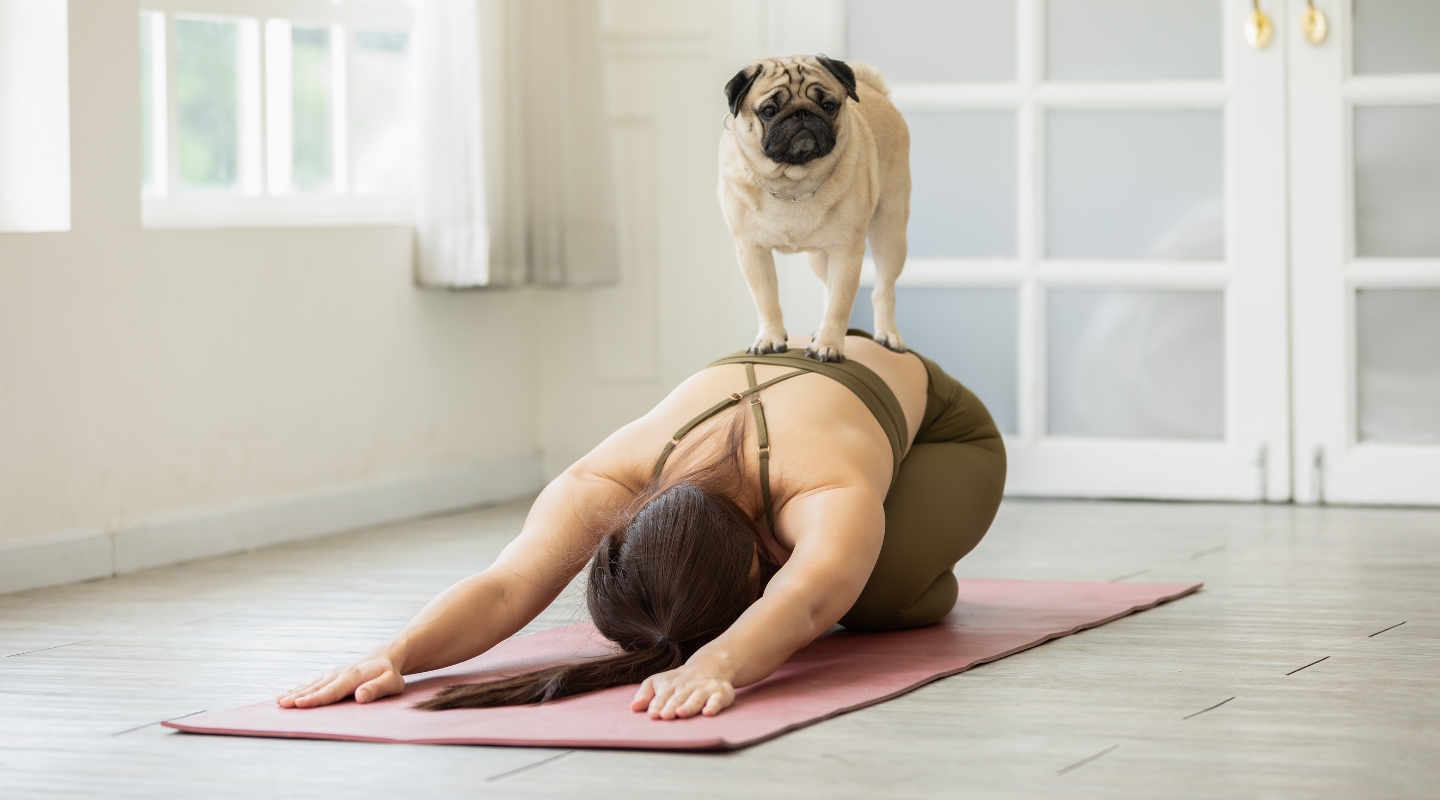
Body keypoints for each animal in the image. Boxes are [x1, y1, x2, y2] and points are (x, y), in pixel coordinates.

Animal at [720, 57, 910, 364]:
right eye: (769, 111)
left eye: (828, 105)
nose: (802, 114)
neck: (793, 182)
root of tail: (876, 92)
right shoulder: (752, 251)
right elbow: (767, 300)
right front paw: (770, 339)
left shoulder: (847, 253)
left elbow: (840, 304)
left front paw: (829, 345)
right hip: (819, 258)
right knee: (826, 288)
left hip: (890, 233)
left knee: (883, 288)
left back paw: (887, 335)